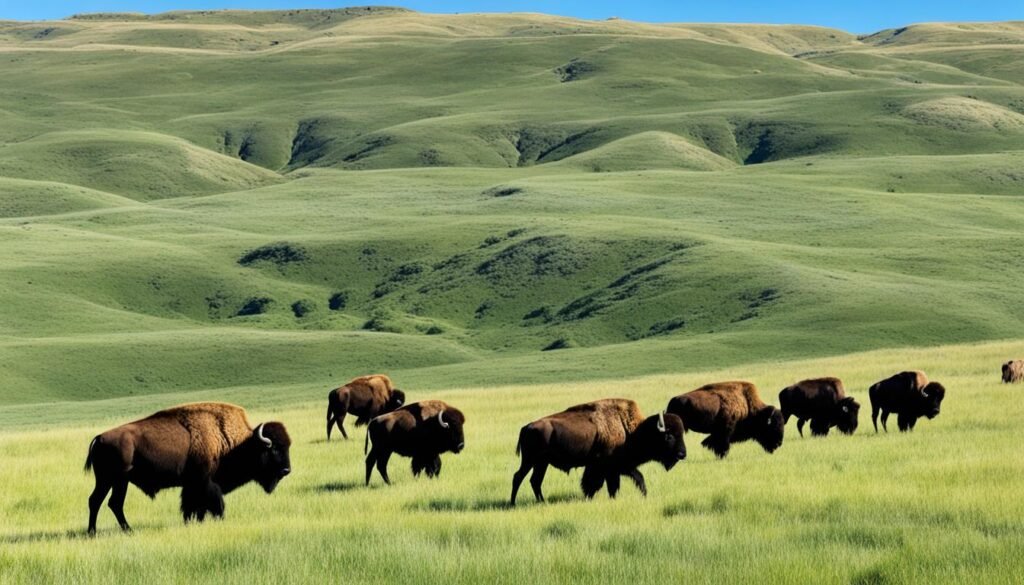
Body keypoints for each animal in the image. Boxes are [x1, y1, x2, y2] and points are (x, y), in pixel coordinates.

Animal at [82, 403, 292, 536]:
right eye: (274, 448)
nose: (287, 470)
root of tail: (100, 437)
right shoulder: (206, 484)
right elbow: (215, 506)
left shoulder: (192, 486)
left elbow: (193, 507)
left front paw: (192, 523)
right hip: (109, 479)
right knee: (97, 501)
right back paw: (94, 532)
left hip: (119, 481)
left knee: (113, 503)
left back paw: (125, 530)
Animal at [507, 401, 684, 506]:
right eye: (669, 436)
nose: (682, 454)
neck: (630, 430)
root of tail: (527, 426)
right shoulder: (607, 467)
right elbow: (598, 483)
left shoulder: (618, 468)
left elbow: (623, 483)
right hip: (531, 461)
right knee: (519, 477)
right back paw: (514, 503)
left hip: (540, 463)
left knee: (534, 481)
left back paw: (541, 502)